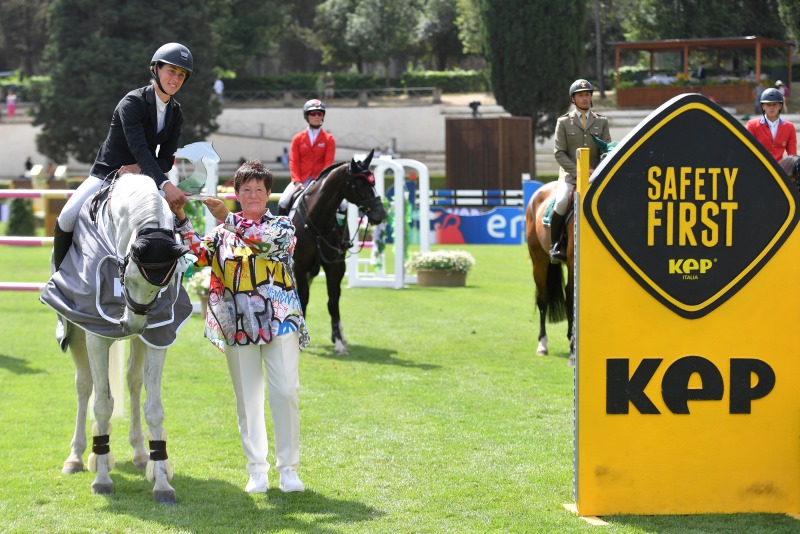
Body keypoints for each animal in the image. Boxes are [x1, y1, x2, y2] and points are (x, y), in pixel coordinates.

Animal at [43, 174, 193, 504]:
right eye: (129, 277)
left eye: (163, 285)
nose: (132, 323)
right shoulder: (95, 336)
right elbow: (102, 404)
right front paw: (101, 479)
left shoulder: (157, 337)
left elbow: (154, 408)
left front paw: (161, 482)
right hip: (76, 331)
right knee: (84, 386)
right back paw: (76, 457)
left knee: (134, 382)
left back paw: (139, 453)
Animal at [290, 151, 388, 356]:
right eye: (361, 184)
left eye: (374, 182)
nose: (380, 214)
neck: (318, 219)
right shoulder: (300, 265)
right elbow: (304, 297)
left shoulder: (335, 267)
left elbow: (333, 302)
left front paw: (339, 342)